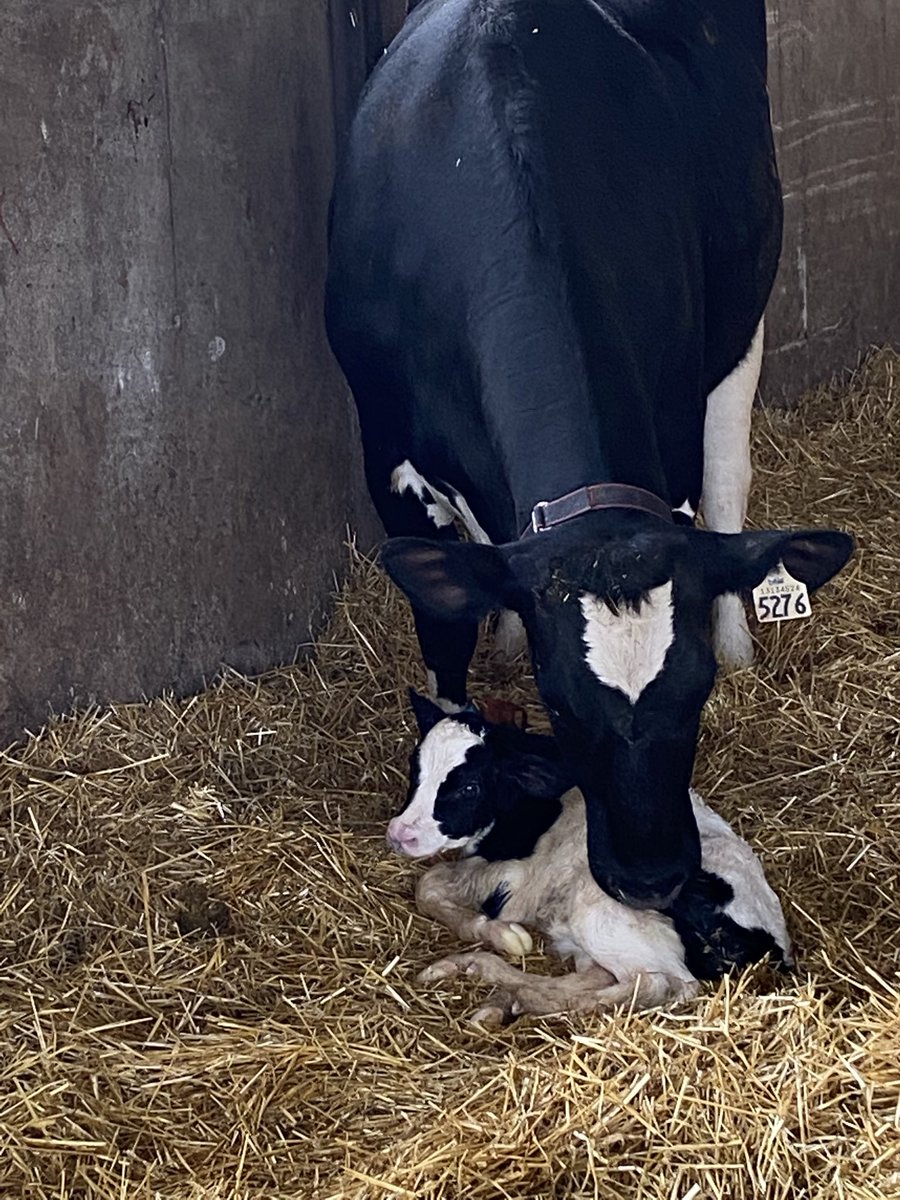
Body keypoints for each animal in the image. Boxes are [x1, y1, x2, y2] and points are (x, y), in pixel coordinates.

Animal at [324, 0, 853, 909]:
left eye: (698, 689)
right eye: (559, 702)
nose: (651, 878)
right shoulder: (386, 454)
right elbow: (443, 630)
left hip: (741, 318)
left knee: (730, 479)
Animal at [391, 692, 792, 1019]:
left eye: (470, 787)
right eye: (416, 769)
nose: (399, 833)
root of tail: (773, 947)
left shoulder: (516, 878)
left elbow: (430, 883)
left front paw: (500, 933)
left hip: (601, 911)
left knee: (661, 985)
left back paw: (518, 997)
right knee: (597, 976)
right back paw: (482, 981)